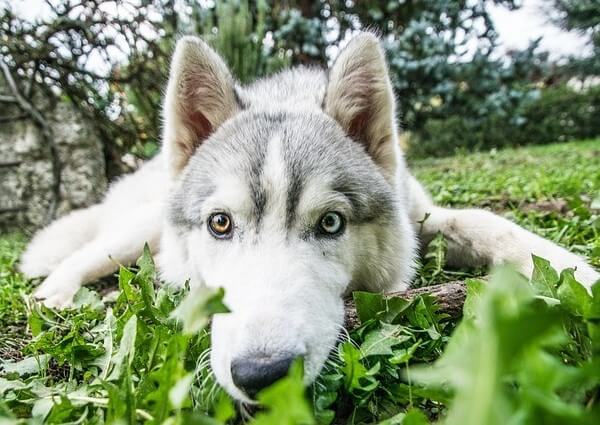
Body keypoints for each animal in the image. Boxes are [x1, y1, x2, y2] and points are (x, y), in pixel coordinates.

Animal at [18, 33, 600, 400]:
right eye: (220, 224)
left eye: (331, 224)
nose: (262, 375)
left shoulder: (422, 216)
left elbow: (489, 223)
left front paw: (579, 273)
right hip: (136, 230)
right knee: (83, 253)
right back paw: (55, 294)